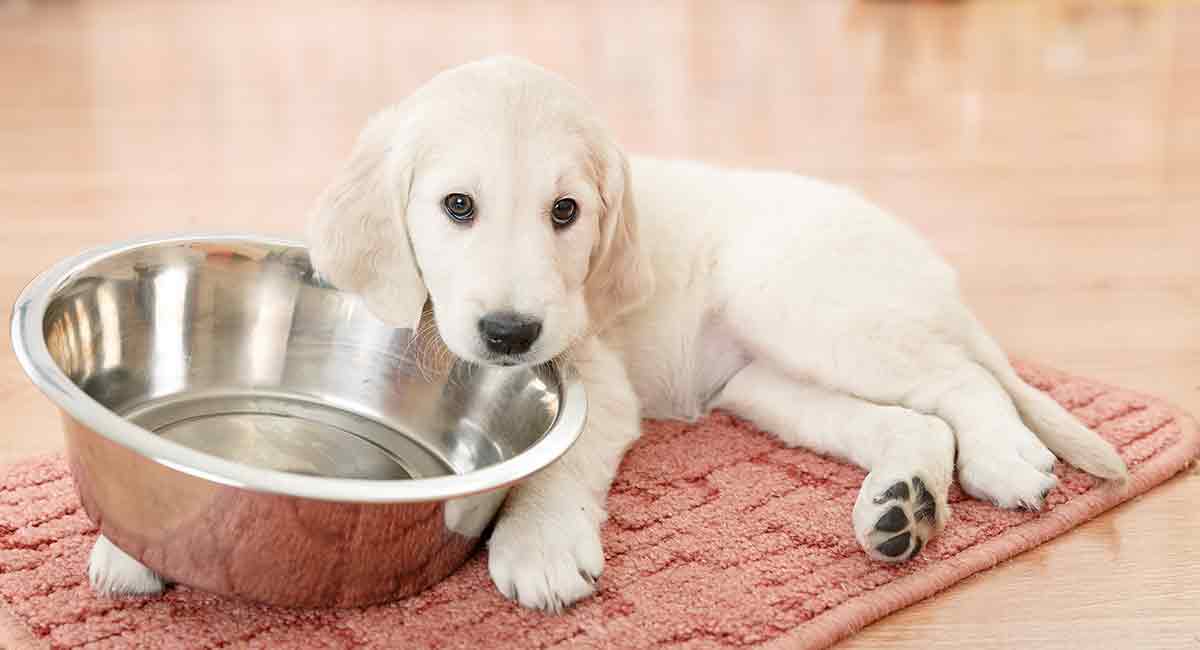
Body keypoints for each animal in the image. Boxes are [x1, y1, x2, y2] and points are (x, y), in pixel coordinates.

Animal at [88, 54, 1128, 611]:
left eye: (566, 212)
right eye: (456, 206)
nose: (510, 334)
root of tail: (930, 270)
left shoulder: (597, 382)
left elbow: (554, 465)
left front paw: (541, 546)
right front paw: (139, 538)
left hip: (803, 300)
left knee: (964, 382)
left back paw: (1004, 459)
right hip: (765, 388)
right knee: (914, 420)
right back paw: (902, 506)